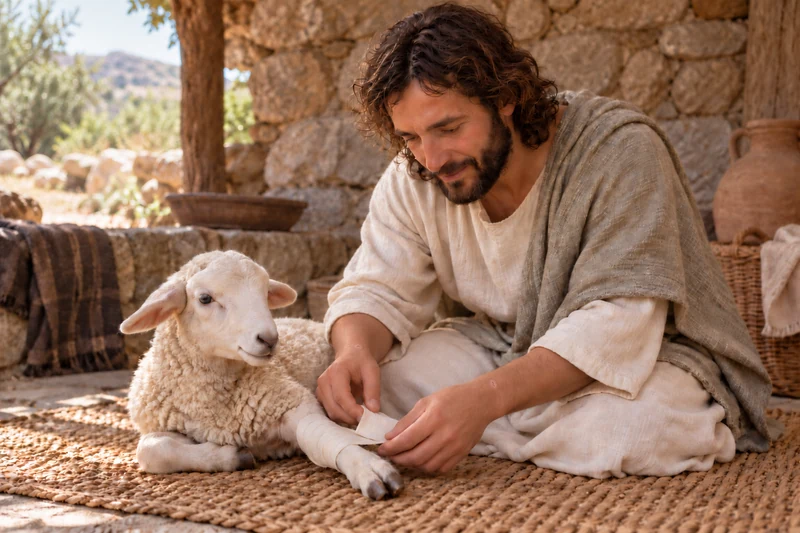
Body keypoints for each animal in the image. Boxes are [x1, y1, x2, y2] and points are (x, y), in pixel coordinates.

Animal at [120, 250, 404, 500]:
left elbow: (322, 435)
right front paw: (231, 456)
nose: (268, 339)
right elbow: (151, 451)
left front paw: (366, 466)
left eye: (265, 293)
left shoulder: (290, 400)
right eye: (205, 299)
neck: (215, 406)